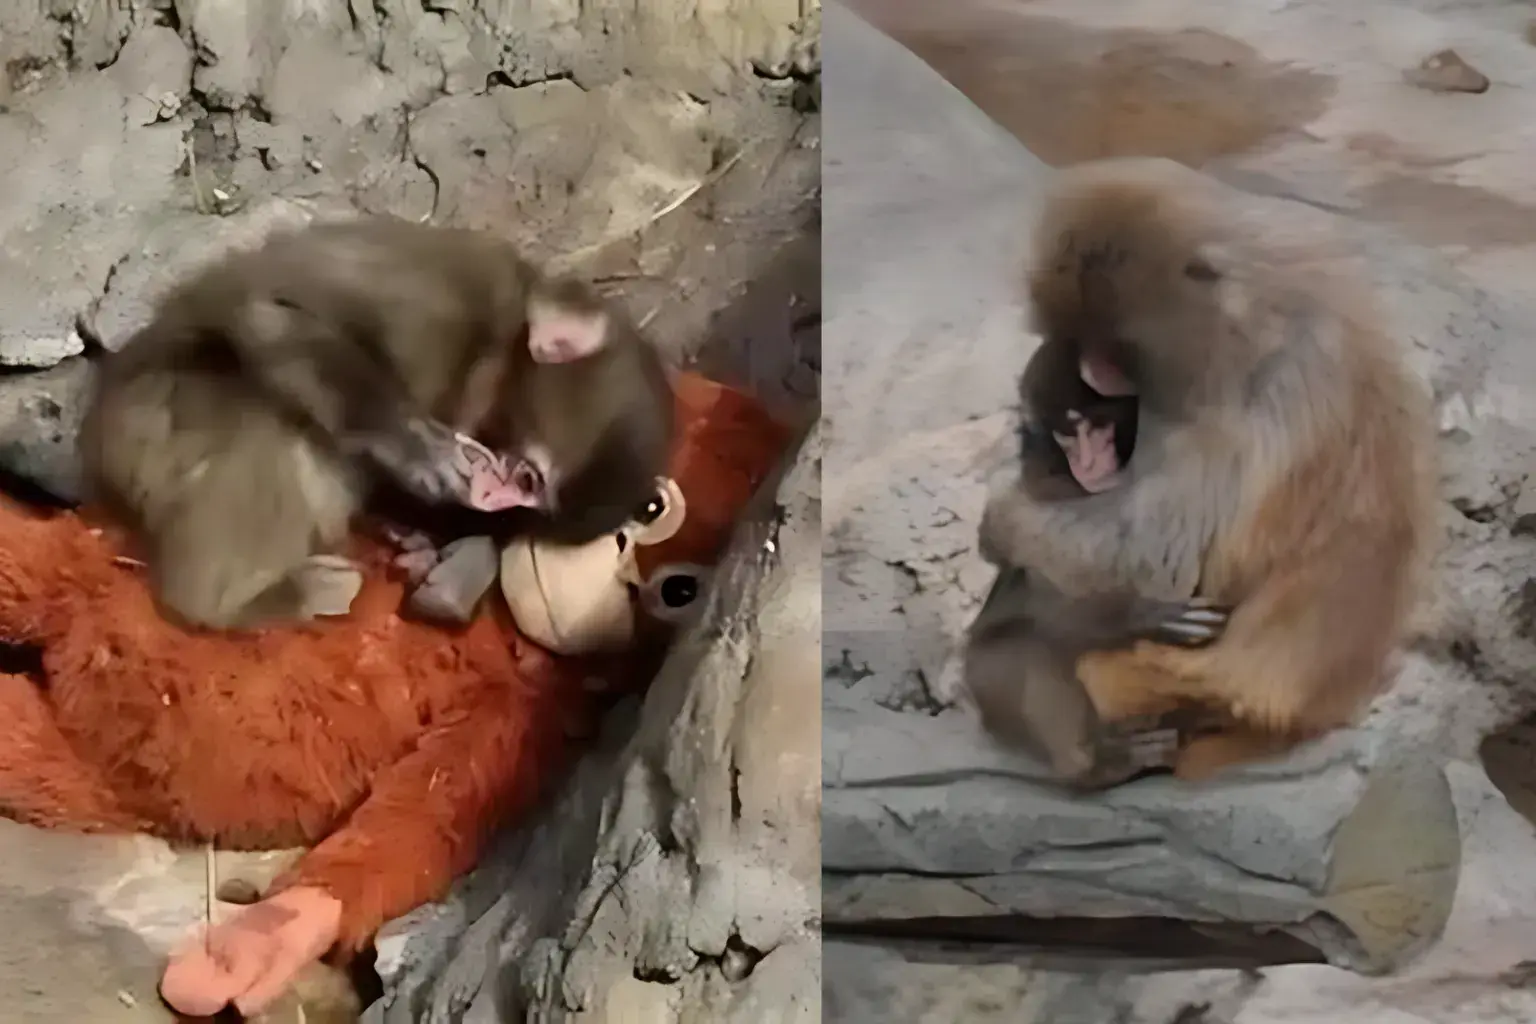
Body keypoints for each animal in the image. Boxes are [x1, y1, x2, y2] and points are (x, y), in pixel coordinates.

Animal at [80, 217, 674, 632]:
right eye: (527, 478)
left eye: (528, 504)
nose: (492, 500)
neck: (494, 346)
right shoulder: (433, 307)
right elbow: (272, 309)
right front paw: (415, 446)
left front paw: (431, 547)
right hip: (155, 420)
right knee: (270, 436)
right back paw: (235, 601)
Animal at [976, 157, 1438, 781]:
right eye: (1087, 344)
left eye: (1111, 349)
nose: (1095, 373)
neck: (1256, 314)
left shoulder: (1231, 405)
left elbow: (1152, 551)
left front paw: (1002, 522)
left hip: (1144, 679)